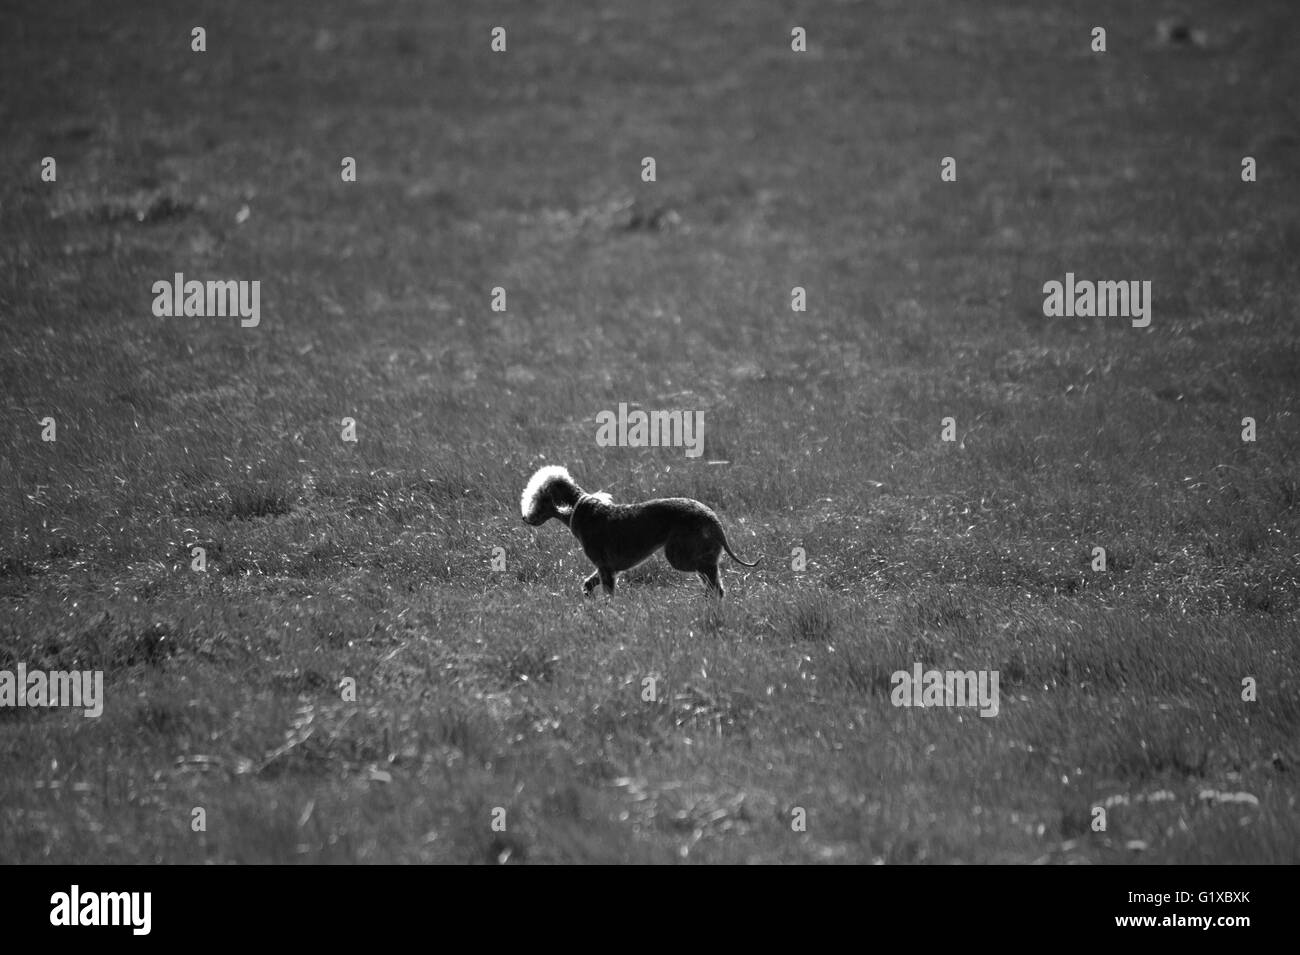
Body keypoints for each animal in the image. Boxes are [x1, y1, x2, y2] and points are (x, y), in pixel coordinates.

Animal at [520, 465, 759, 595]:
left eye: (538, 497)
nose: (525, 517)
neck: (581, 508)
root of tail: (713, 519)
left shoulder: (605, 568)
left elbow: (608, 595)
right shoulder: (608, 568)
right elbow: (588, 583)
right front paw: (588, 596)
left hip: (681, 554)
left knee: (712, 579)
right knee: (714, 585)